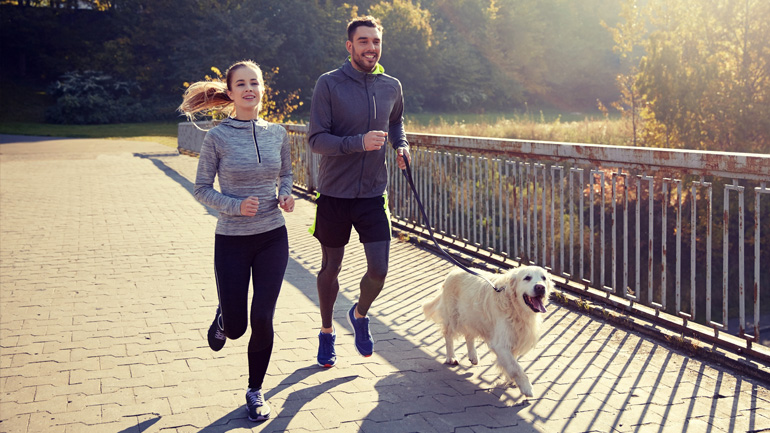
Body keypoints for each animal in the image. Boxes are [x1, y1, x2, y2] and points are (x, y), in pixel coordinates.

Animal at [424, 264, 548, 394]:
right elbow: (516, 367)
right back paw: (451, 357)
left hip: (471, 316)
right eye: (527, 278)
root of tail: (453, 272)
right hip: (453, 317)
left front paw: (510, 378)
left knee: (469, 335)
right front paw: (526, 387)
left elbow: (512, 362)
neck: (515, 307)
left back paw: (473, 356)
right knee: (448, 336)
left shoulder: (513, 338)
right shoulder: (501, 344)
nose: (540, 287)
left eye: (544, 278)